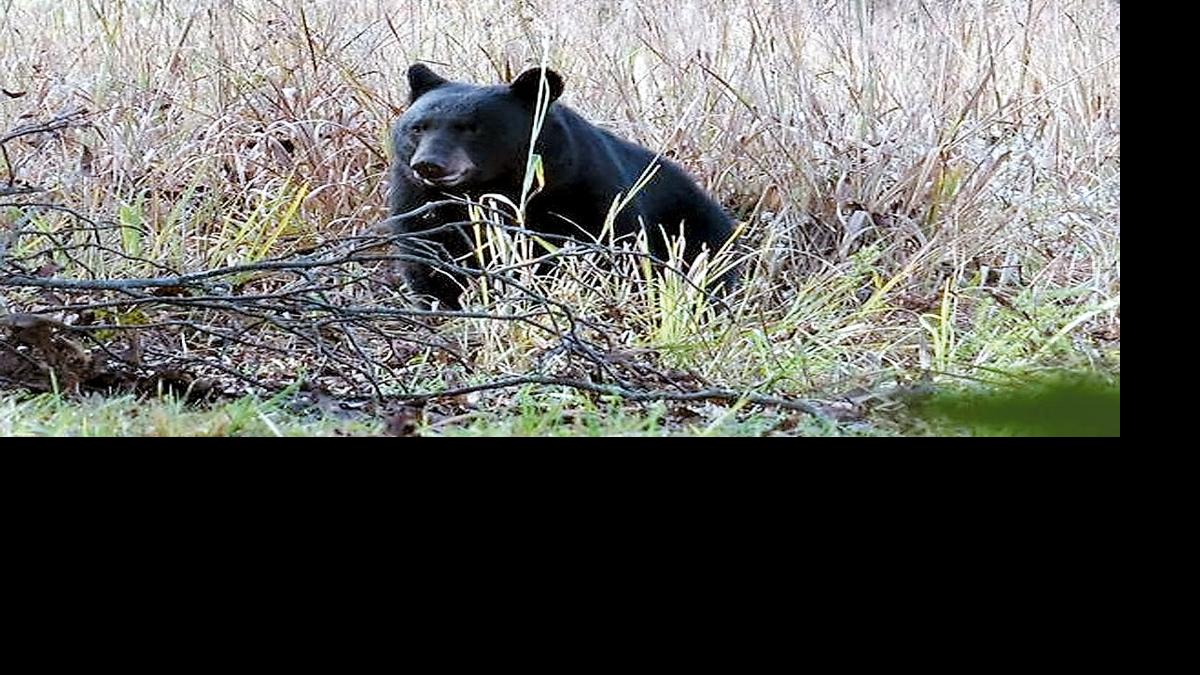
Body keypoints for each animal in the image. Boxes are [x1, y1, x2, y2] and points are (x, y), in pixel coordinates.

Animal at [387, 63, 737, 310]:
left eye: (472, 128)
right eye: (417, 128)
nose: (429, 164)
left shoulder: (584, 190)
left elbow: (610, 246)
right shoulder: (418, 201)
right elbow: (430, 256)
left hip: (696, 231)